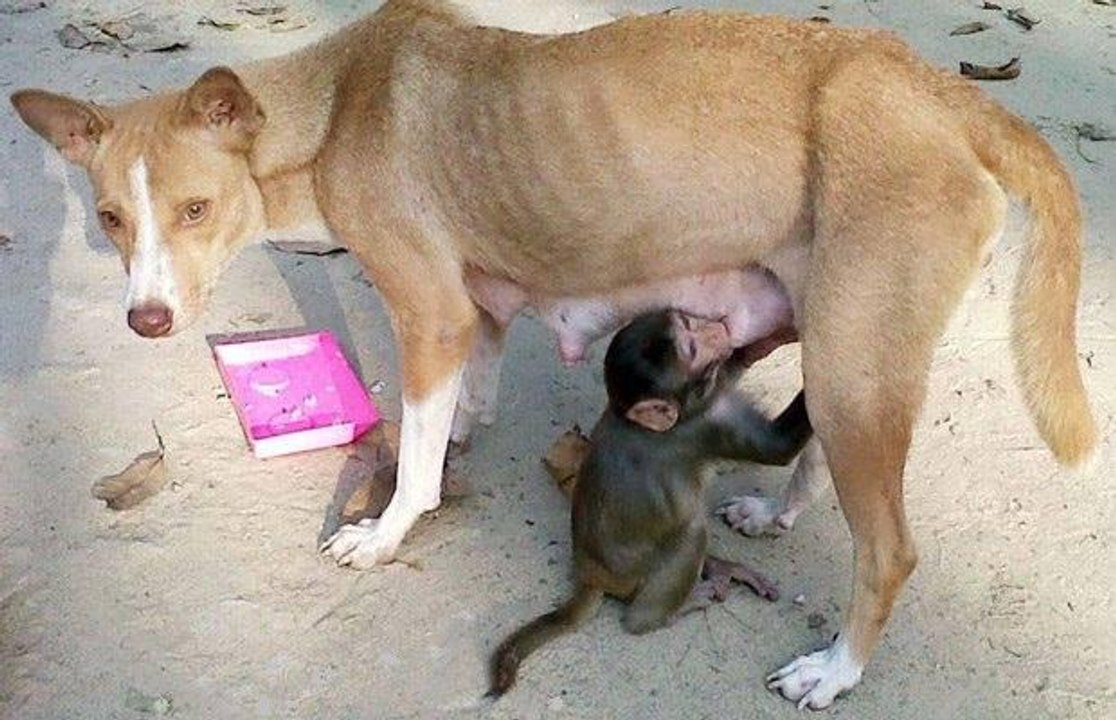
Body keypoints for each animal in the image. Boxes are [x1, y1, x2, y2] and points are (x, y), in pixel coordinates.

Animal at [488, 310, 811, 697]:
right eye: (691, 349)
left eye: (685, 322)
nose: (715, 329)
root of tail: (589, 574)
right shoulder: (704, 427)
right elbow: (777, 446)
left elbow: (732, 371)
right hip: (635, 577)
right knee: (688, 536)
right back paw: (666, 611)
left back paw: (721, 568)